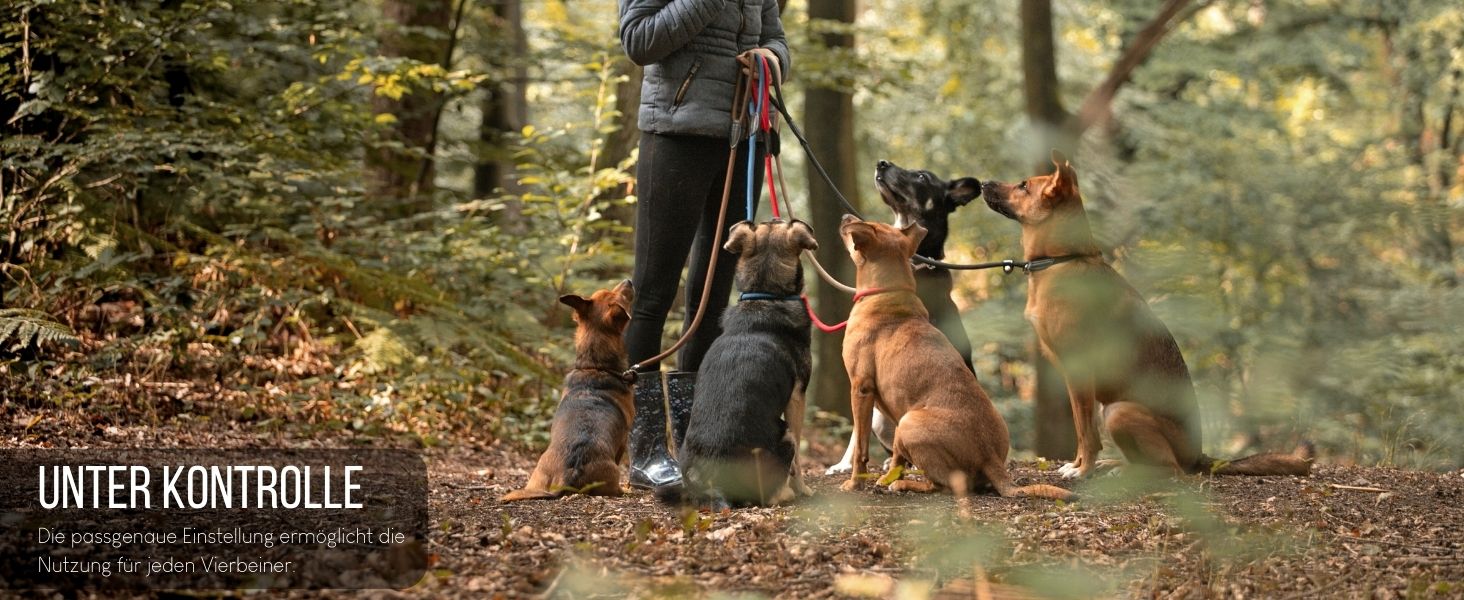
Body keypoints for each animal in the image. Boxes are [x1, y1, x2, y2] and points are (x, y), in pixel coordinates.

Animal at [503, 280, 635, 500]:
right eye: (616, 294)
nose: (629, 281)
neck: (594, 366)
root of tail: (571, 472)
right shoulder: (623, 440)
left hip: (537, 475)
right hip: (614, 473)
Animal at [658, 218, 819, 509]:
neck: (765, 295)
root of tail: (714, 485)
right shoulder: (797, 398)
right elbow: (798, 464)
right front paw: (804, 489)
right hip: (785, 434)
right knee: (771, 494)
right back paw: (788, 493)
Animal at [837, 215, 1077, 500]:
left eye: (867, 225)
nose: (846, 217)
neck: (887, 293)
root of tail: (990, 457)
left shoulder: (860, 389)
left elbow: (860, 448)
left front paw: (855, 483)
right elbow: (895, 457)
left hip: (908, 421)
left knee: (945, 486)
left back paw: (904, 485)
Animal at [983, 153, 1317, 477]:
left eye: (1023, 185)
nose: (984, 182)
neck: (1062, 259)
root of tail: (1198, 457)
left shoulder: (1081, 373)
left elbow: (1087, 434)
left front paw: (1082, 470)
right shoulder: (1072, 380)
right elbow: (1081, 429)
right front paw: (1078, 465)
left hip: (1119, 411)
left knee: (1171, 471)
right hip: (1111, 409)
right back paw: (1116, 466)